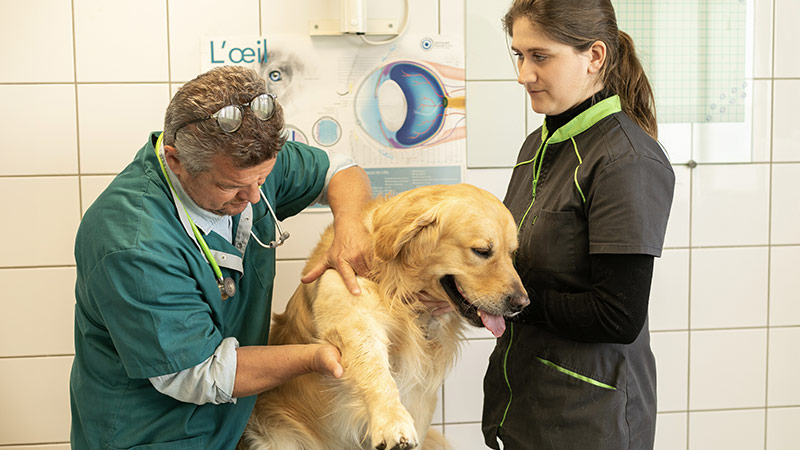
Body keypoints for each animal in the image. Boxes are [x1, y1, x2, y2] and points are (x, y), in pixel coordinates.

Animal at [244, 183, 532, 450]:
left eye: (512, 253)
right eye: (482, 251)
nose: (522, 303)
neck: (400, 288)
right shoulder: (351, 309)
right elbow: (375, 370)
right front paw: (392, 421)